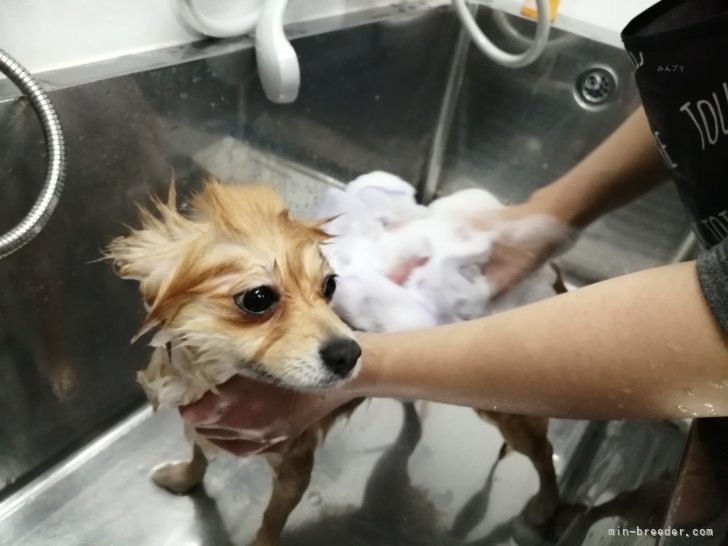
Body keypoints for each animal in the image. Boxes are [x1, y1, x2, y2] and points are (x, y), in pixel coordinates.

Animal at [106, 177, 556, 540]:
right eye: (258, 298)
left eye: (329, 286)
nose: (350, 353)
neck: (214, 378)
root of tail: (551, 276)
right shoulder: (200, 419)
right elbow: (199, 453)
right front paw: (185, 479)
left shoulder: (295, 467)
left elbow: (269, 524)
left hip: (508, 410)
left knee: (542, 453)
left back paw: (544, 507)